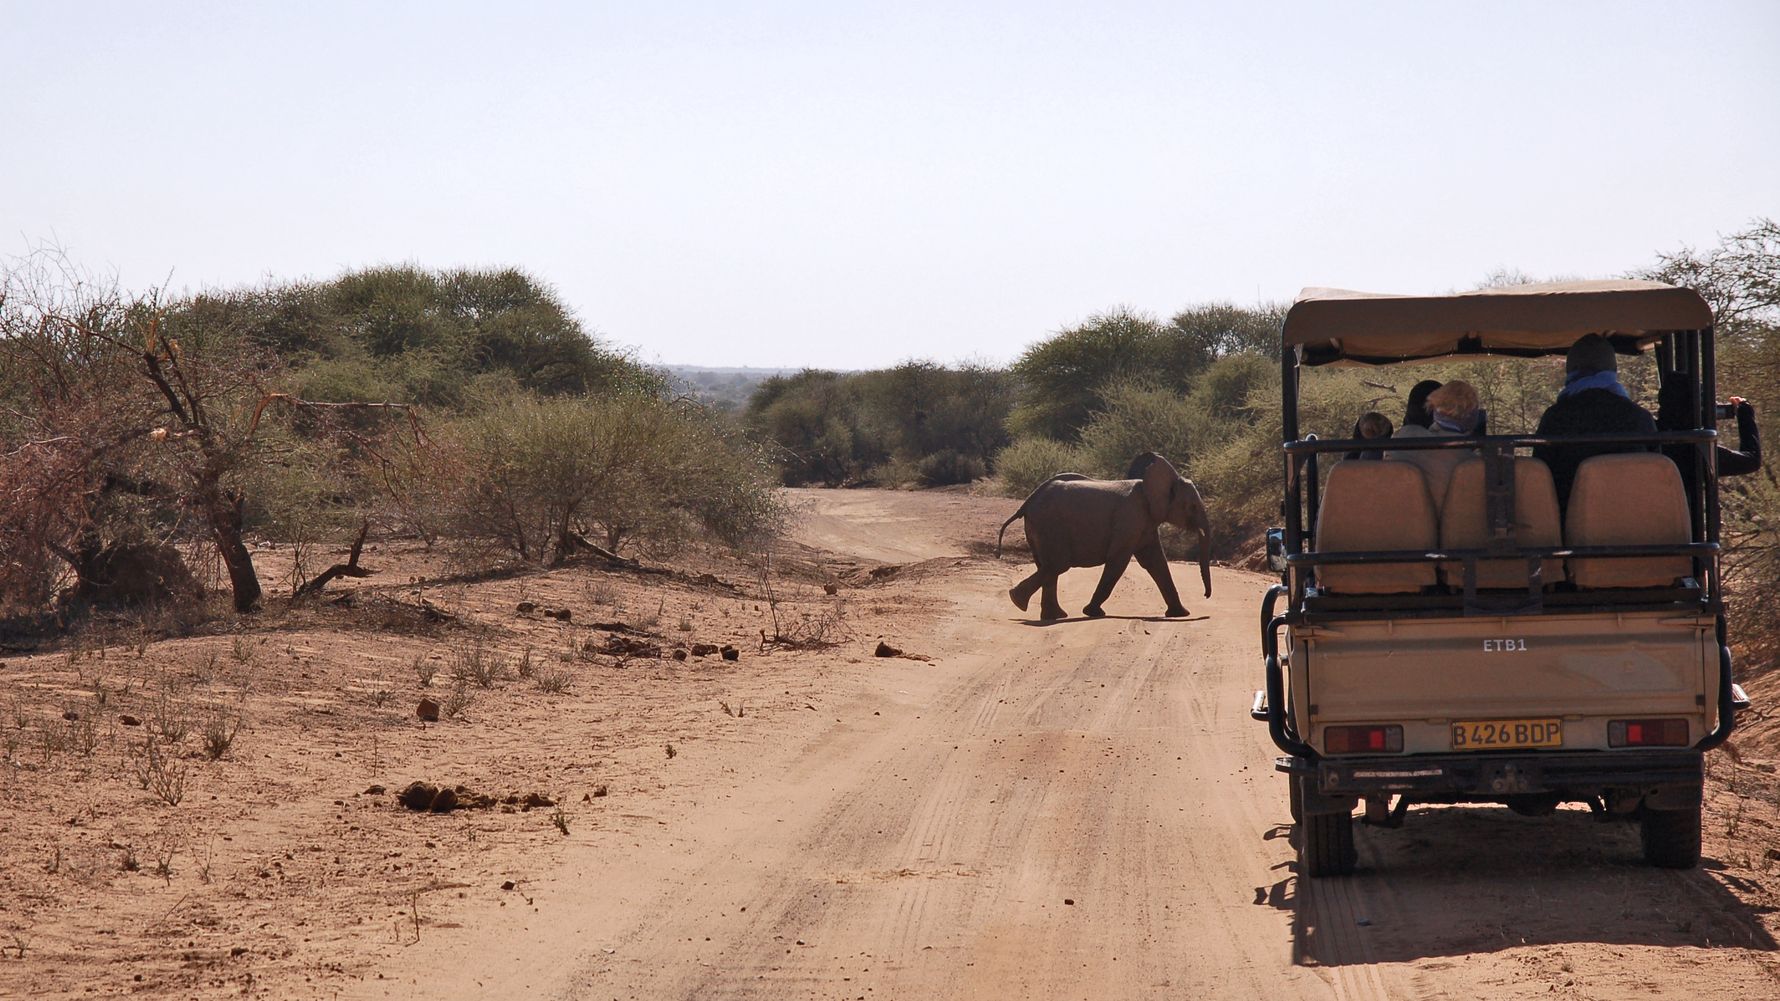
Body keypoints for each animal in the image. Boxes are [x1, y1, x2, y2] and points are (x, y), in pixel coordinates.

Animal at [996, 452, 1213, 621]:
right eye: (1193, 507)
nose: (1205, 596)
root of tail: (1027, 503)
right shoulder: (1130, 518)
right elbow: (1118, 561)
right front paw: (1092, 612)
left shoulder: (1145, 522)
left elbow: (1156, 562)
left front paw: (1181, 614)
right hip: (1049, 525)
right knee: (1058, 564)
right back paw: (1019, 601)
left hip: (1039, 527)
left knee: (1048, 565)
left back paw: (1051, 615)